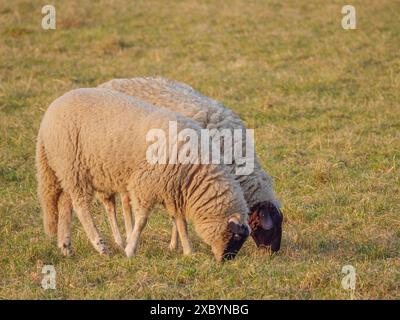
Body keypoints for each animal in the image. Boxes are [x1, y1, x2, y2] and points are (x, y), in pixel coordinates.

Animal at [36, 87, 250, 260]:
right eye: (235, 236)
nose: (225, 261)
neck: (194, 172)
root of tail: (48, 116)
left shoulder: (171, 189)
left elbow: (180, 221)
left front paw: (188, 251)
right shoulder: (145, 184)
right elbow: (142, 221)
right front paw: (130, 249)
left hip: (67, 171)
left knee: (65, 204)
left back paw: (65, 246)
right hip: (72, 166)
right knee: (81, 207)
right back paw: (100, 246)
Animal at [98, 77, 282, 252]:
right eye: (268, 227)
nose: (274, 251)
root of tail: (106, 84)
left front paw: (176, 244)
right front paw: (175, 245)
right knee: (114, 204)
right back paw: (122, 239)